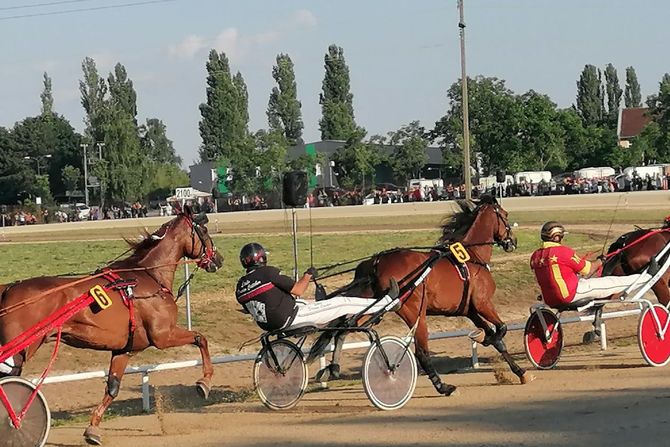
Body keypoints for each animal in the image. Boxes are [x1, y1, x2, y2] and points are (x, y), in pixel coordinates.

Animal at [0, 206, 226, 444]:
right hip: (20, 350)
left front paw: (92, 429)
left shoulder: (124, 349)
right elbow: (201, 338)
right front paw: (204, 383)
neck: (148, 276)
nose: (218, 258)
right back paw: (15, 420)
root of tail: (8, 288)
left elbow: (113, 388)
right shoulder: (163, 336)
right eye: (204, 229)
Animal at [318, 196, 532, 396]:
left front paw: (520, 372)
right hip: (415, 312)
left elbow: (499, 341)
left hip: (373, 303)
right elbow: (501, 329)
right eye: (505, 215)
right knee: (421, 352)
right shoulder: (482, 303)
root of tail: (376, 262)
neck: (472, 256)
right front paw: (485, 339)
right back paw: (443, 386)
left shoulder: (469, 310)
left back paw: (334, 367)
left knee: (345, 326)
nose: (513, 242)